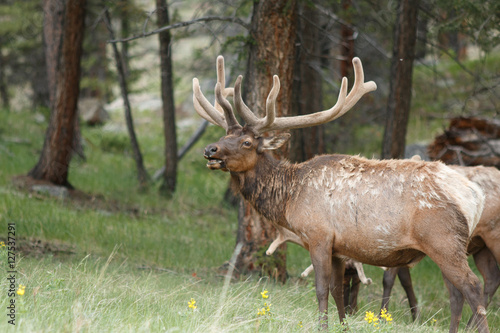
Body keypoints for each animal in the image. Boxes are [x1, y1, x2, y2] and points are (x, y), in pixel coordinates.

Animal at [191, 55, 488, 330]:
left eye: (247, 142)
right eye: (224, 135)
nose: (210, 150)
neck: (289, 198)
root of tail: (475, 196)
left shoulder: (319, 235)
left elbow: (321, 289)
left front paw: (322, 326)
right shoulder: (337, 247)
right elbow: (337, 291)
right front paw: (343, 325)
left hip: (443, 240)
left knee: (474, 287)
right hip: (448, 245)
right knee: (456, 295)